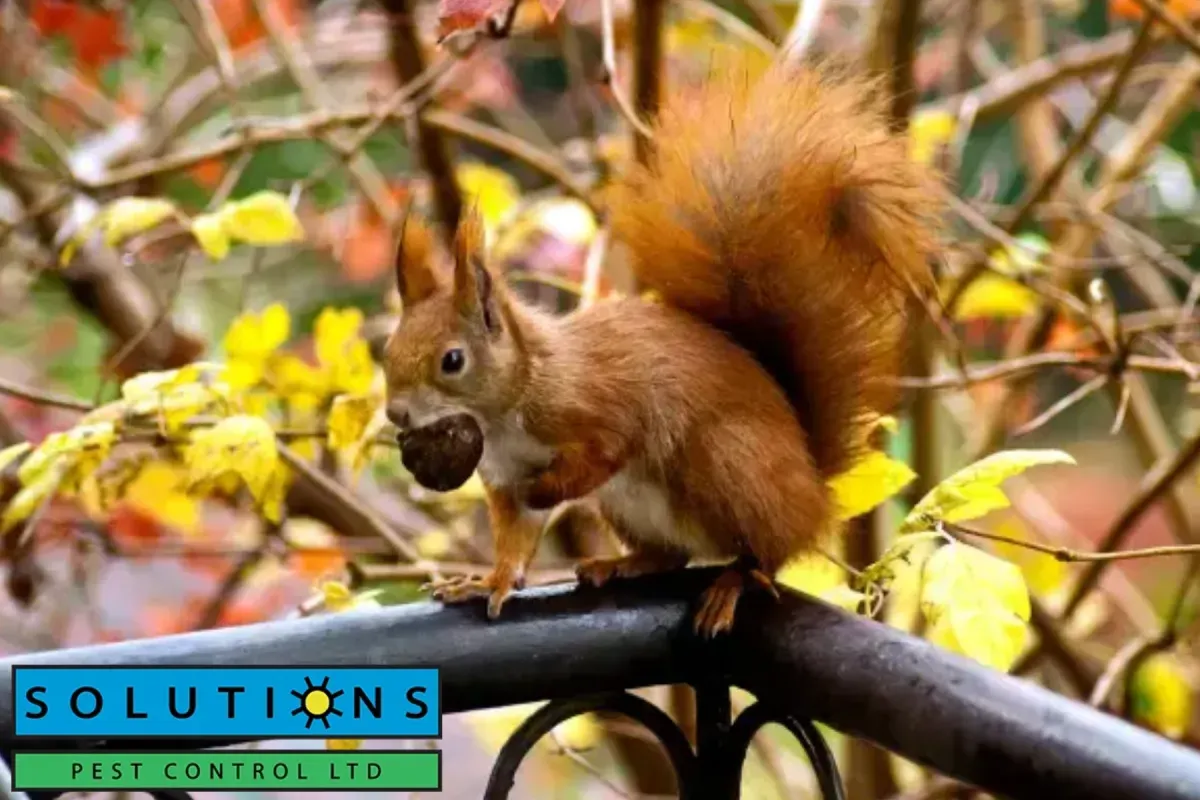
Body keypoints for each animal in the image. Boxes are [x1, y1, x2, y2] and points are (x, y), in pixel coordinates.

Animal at [382, 56, 943, 636]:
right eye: (388, 351)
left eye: (452, 360)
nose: (397, 414)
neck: (508, 406)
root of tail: (812, 486)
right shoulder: (504, 477)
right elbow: (516, 539)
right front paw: (487, 583)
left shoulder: (598, 406)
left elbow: (607, 449)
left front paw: (550, 490)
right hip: (632, 507)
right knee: (674, 555)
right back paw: (622, 563)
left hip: (730, 464)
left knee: (768, 553)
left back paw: (734, 582)